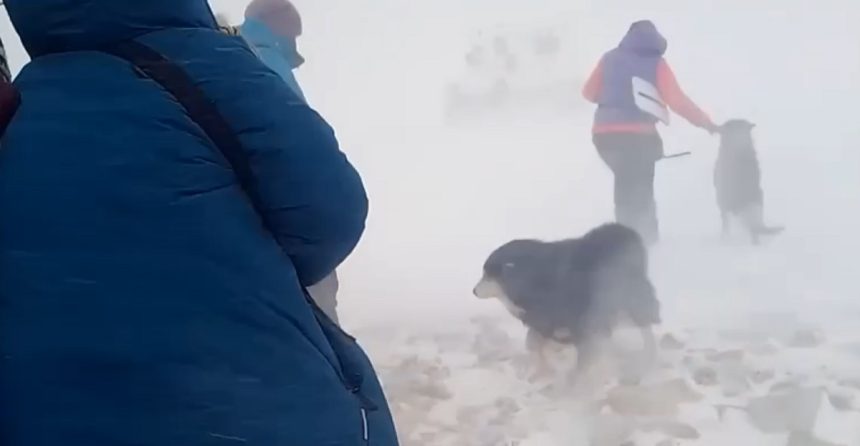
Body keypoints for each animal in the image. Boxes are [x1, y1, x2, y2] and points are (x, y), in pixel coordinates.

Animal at [470, 223, 660, 376]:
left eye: (488, 275)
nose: (474, 291)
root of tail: (626, 233)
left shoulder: (575, 322)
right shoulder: (546, 323)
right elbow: (536, 344)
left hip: (630, 301)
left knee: (645, 329)